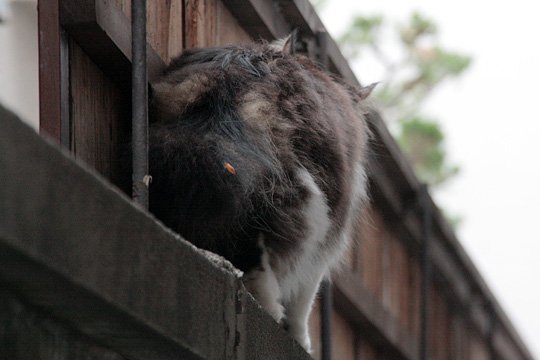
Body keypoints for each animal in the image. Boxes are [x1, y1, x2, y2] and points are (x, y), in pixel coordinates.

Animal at [150, 35, 374, 352]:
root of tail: (234, 74)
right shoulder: (327, 236)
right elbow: (305, 298)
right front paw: (301, 339)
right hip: (305, 198)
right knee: (259, 250)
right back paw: (268, 306)